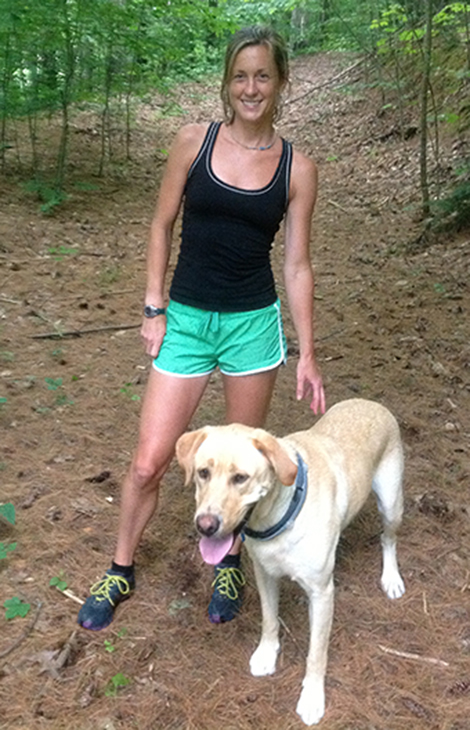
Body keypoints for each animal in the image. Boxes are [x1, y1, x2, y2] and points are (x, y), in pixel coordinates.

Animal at [175, 398, 404, 724]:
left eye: (240, 478)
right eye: (203, 472)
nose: (205, 525)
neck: (277, 515)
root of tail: (371, 402)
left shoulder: (322, 593)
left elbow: (316, 653)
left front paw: (312, 697)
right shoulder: (265, 575)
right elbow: (270, 620)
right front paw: (266, 654)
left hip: (391, 503)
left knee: (389, 539)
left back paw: (391, 578)